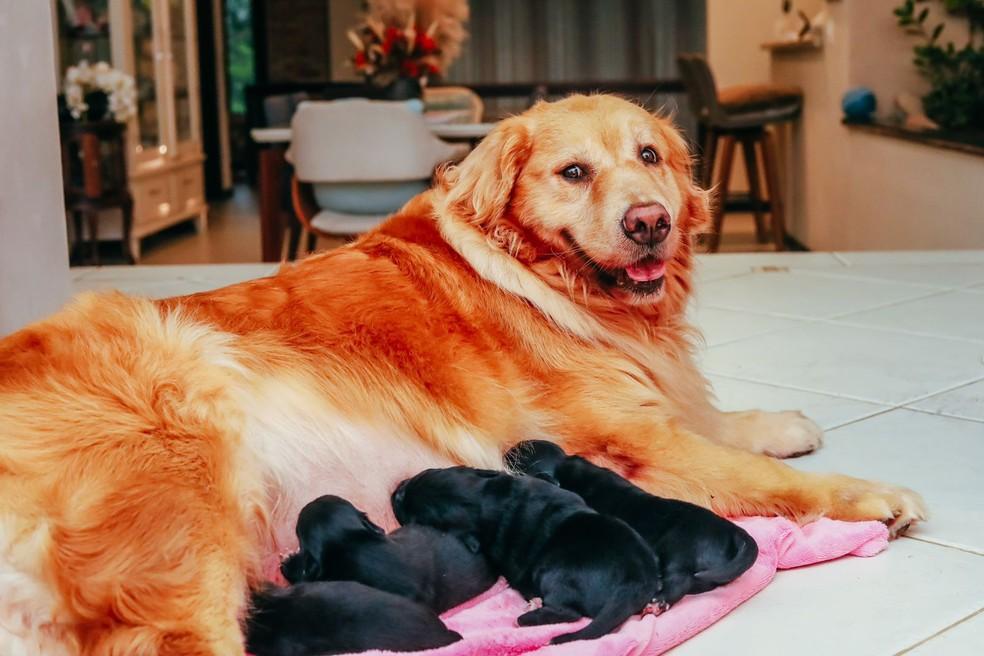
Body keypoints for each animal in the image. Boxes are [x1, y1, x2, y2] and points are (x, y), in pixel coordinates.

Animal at [390, 466, 660, 644]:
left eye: (414, 517)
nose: (397, 490)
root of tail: (636, 580)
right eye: (423, 474)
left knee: (568, 612)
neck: (487, 498)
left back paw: (527, 616)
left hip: (554, 573)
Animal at [504, 438, 756, 608]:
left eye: (516, 462)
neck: (565, 467)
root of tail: (733, 532)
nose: (504, 453)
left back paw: (658, 601)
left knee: (680, 579)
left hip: (680, 550)